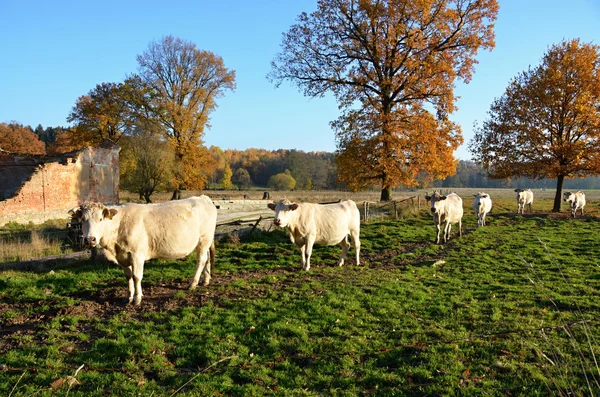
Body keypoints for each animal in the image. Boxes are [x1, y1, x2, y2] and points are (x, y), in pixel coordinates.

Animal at [77, 195, 217, 304]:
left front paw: (137, 298)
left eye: (100, 219)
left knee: (201, 260)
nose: (90, 239)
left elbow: (136, 276)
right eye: (83, 220)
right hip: (206, 242)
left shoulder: (137, 254)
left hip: (204, 239)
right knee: (207, 258)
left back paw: (193, 283)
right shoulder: (122, 257)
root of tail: (203, 198)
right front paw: (129, 296)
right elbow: (128, 276)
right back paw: (206, 280)